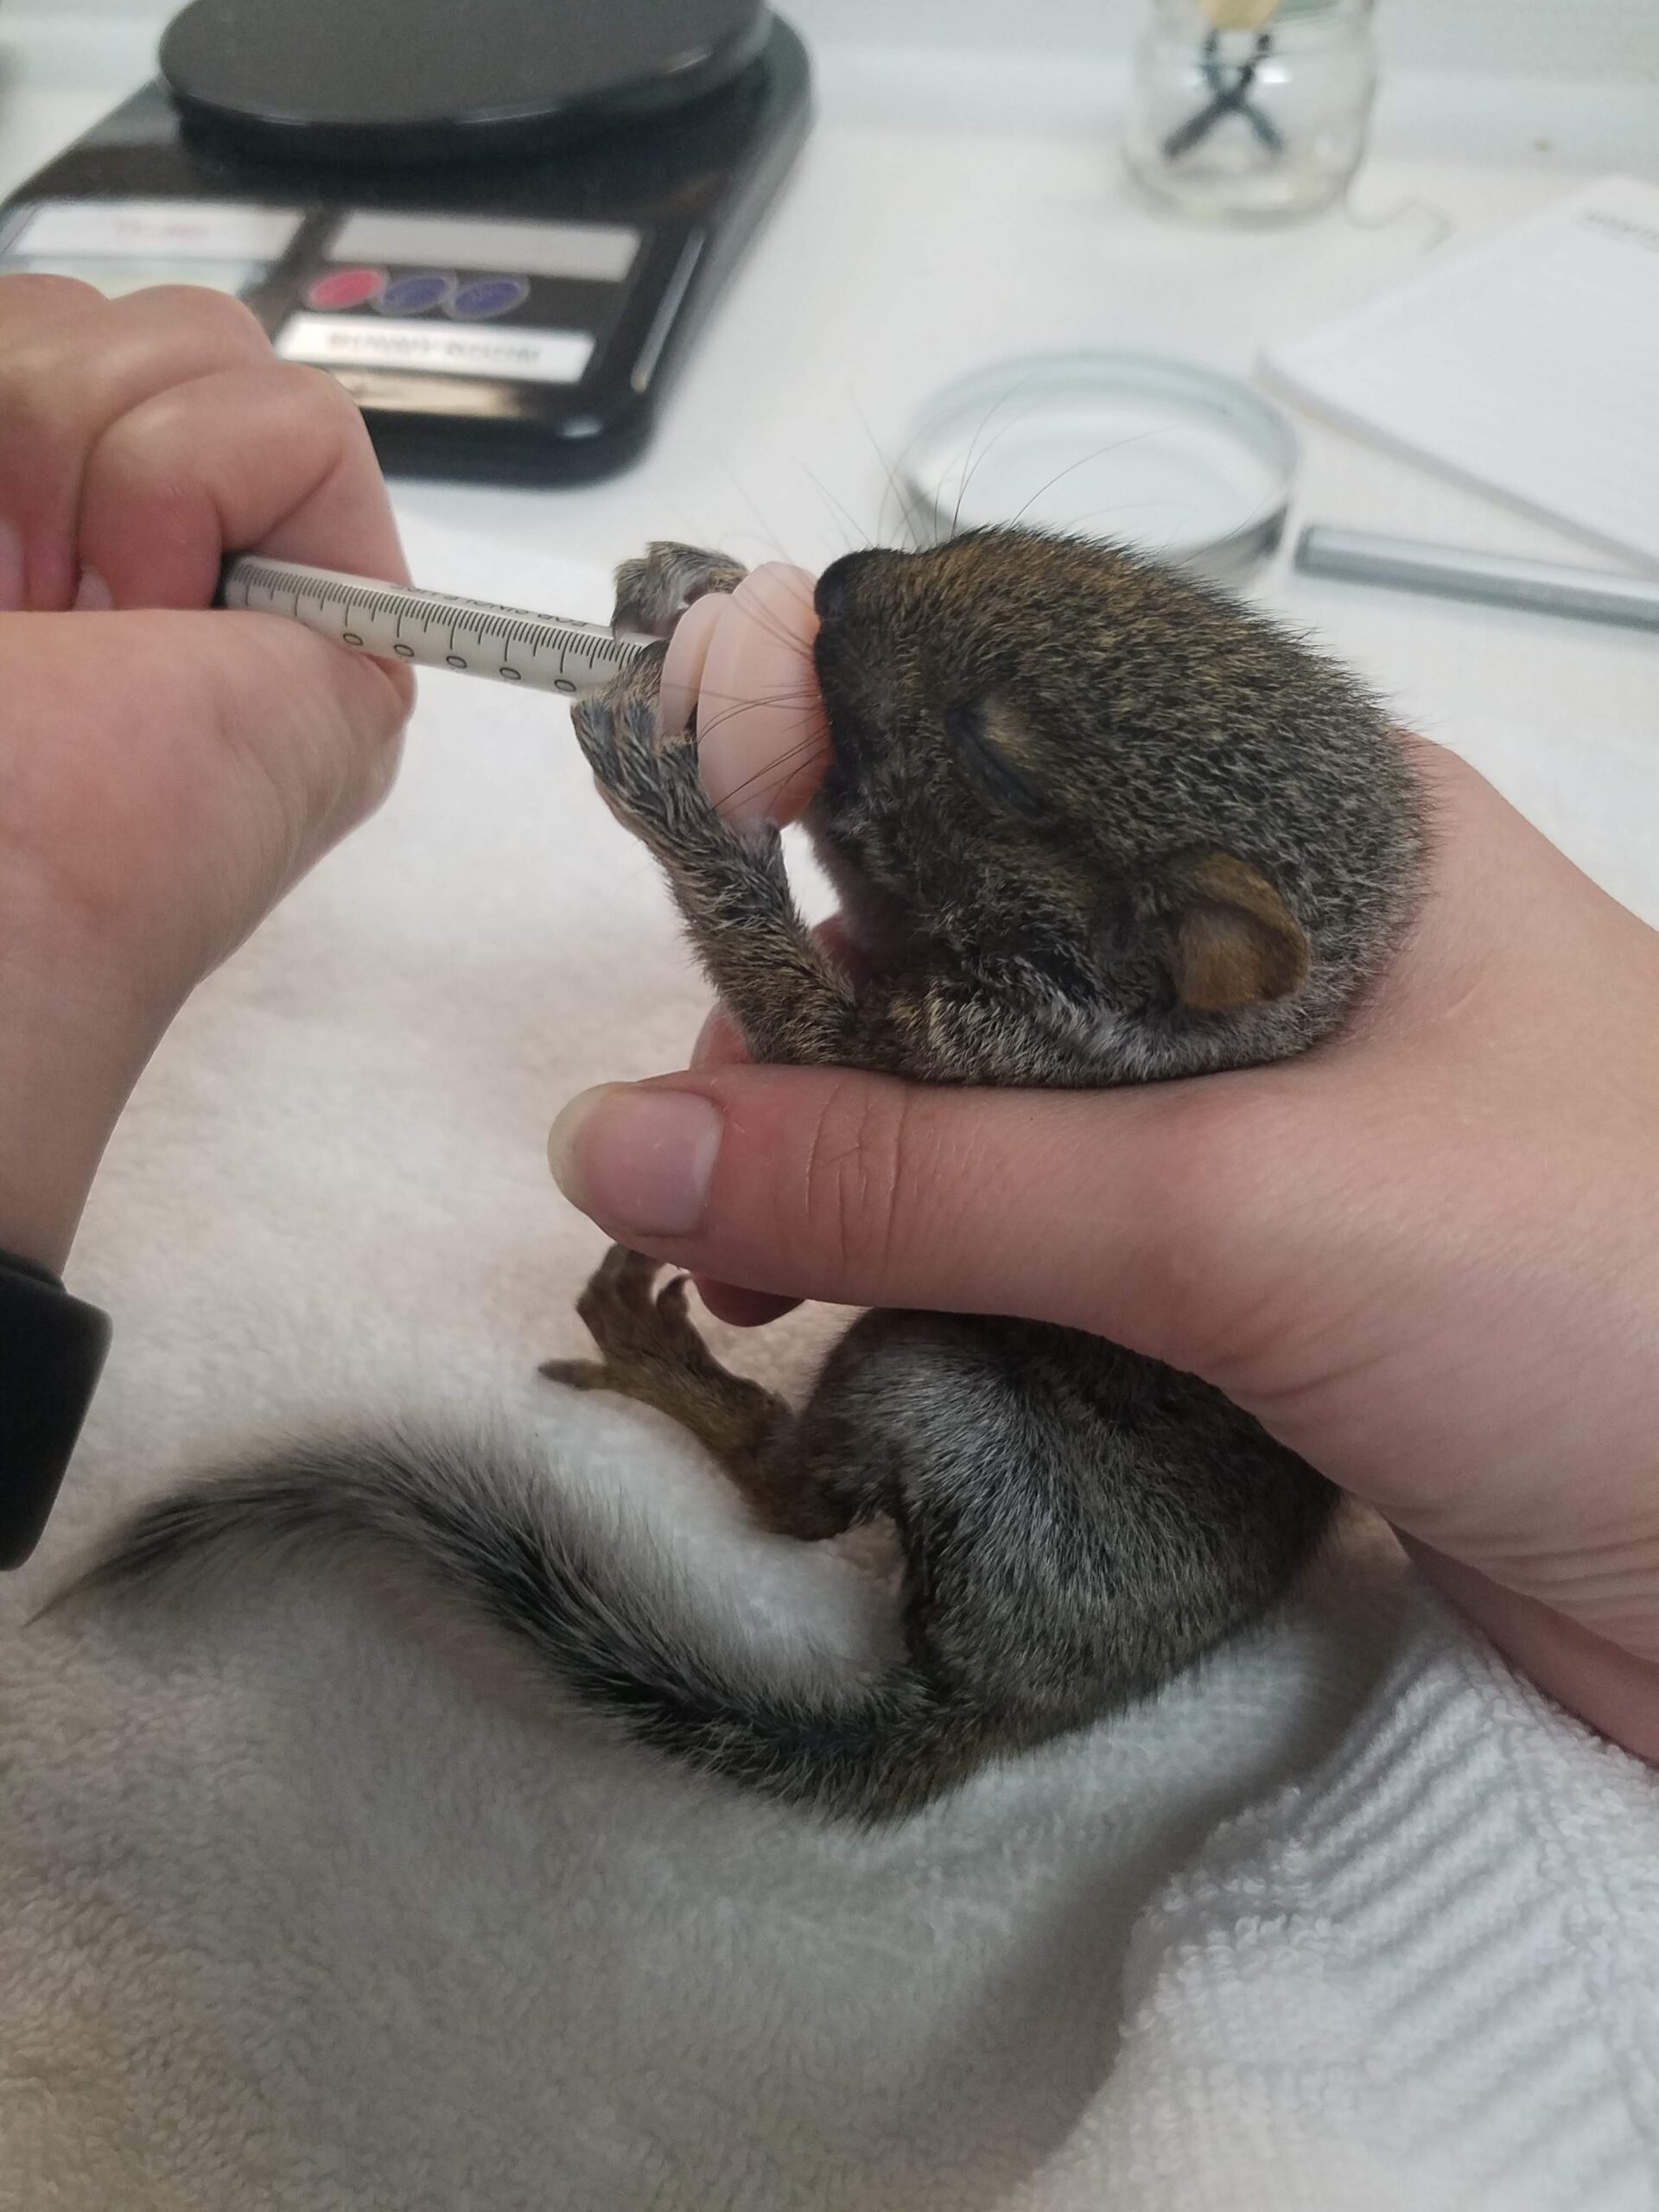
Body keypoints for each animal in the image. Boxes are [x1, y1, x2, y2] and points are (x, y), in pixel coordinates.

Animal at [74, 531, 1433, 1814]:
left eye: (1000, 764)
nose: (838, 582)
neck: (1181, 1026)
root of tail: (1018, 1704)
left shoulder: (1001, 1052)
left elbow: (811, 1016)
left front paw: (679, 791)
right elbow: (862, 863)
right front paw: (684, 588)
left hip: (944, 1408)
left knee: (793, 1506)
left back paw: (673, 1375)